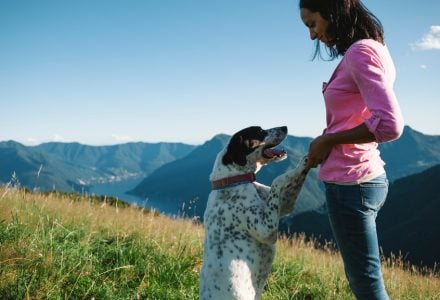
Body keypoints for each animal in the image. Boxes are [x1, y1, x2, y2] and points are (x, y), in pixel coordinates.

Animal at [200, 125, 310, 298]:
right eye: (259, 131)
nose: (285, 127)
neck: (233, 181)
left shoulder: (285, 204)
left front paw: (306, 161)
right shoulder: (266, 229)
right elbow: (278, 179)